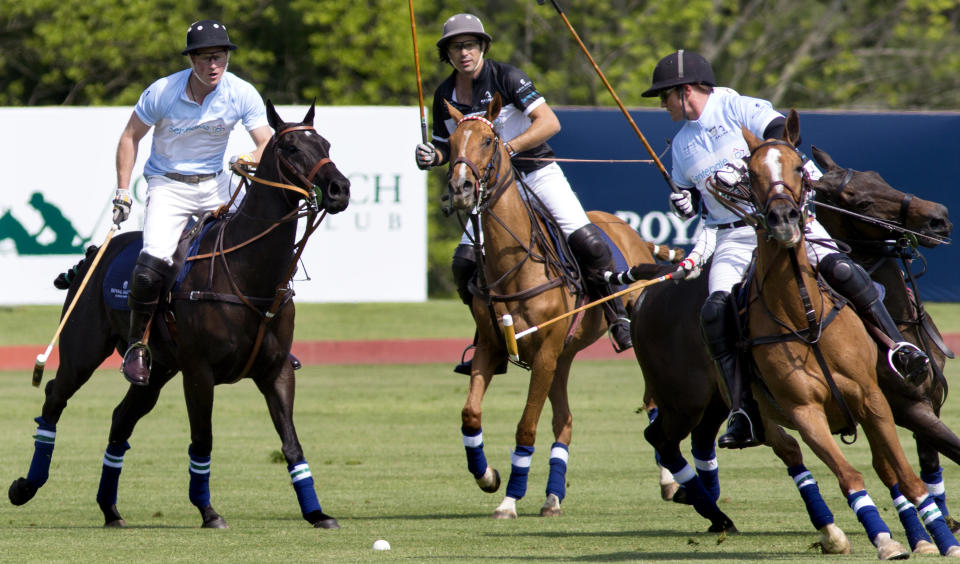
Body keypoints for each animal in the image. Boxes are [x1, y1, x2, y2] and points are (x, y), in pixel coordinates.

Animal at [444, 93, 660, 520]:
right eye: (452, 142)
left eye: (488, 141)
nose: (461, 186)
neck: (512, 265)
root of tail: (629, 231)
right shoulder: (494, 346)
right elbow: (471, 413)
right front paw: (487, 476)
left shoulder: (543, 352)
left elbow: (526, 426)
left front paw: (509, 500)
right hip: (564, 356)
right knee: (566, 421)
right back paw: (552, 496)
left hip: (614, 337)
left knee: (651, 398)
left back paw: (671, 481)